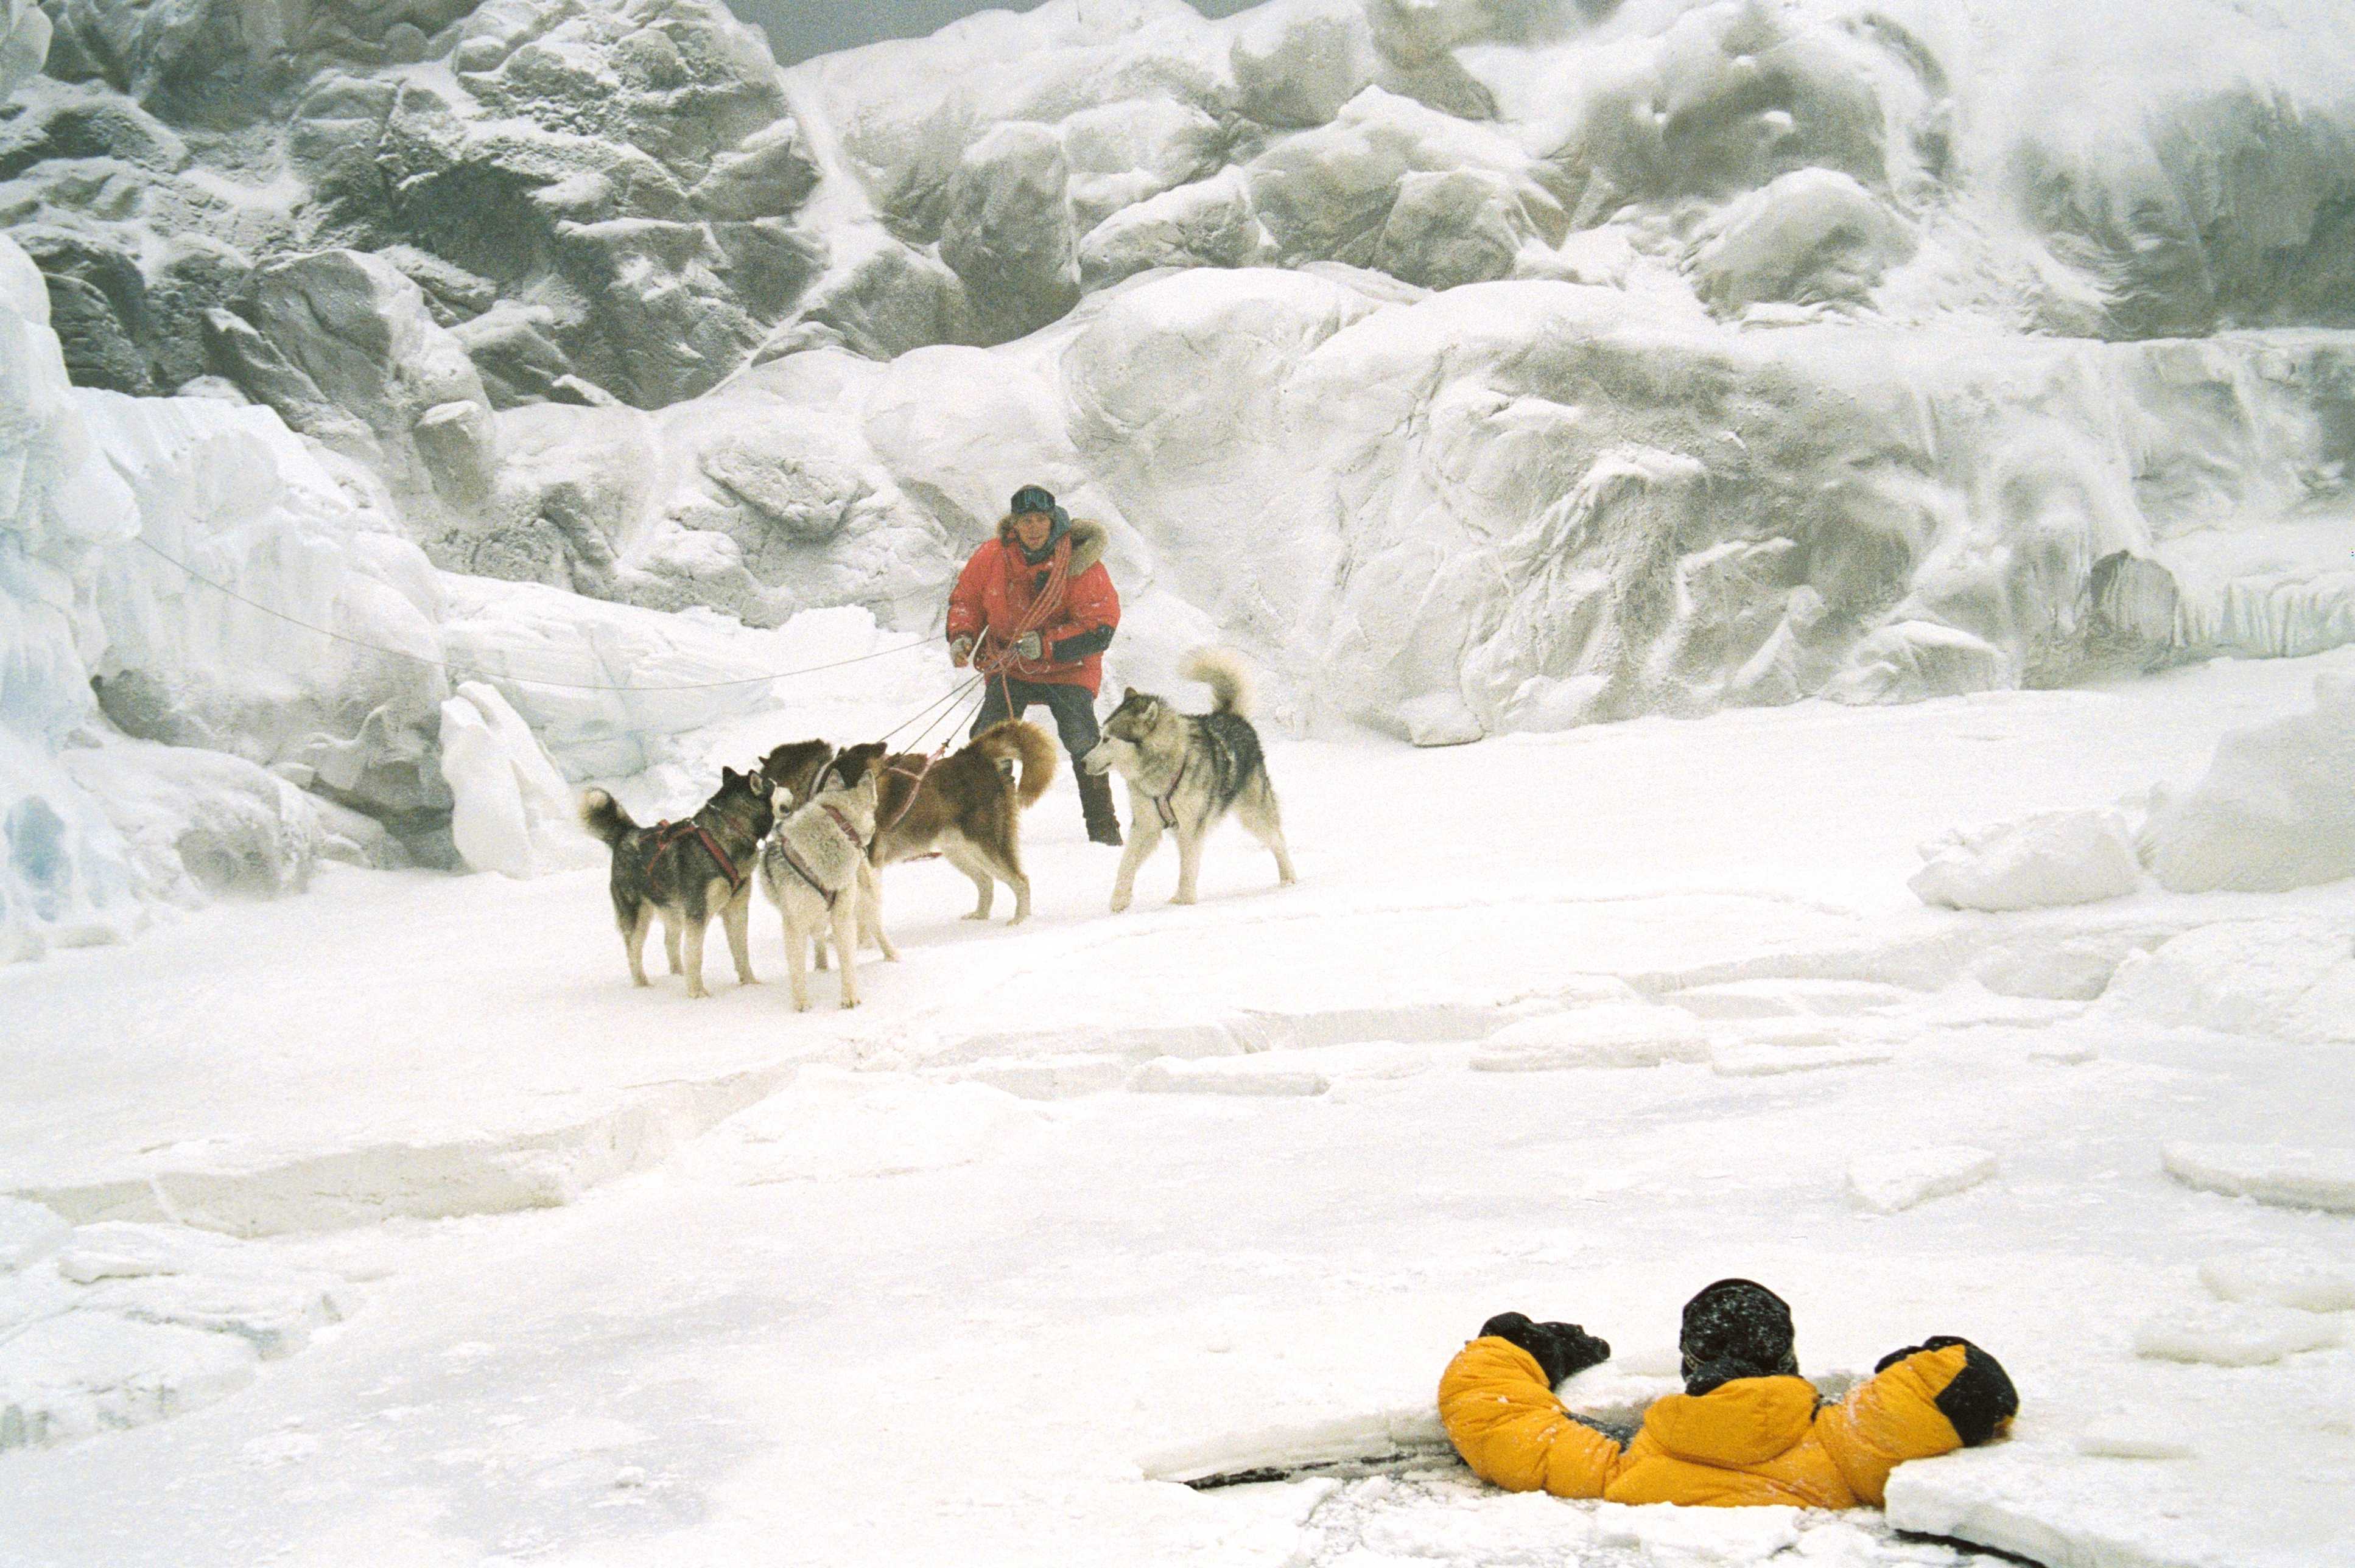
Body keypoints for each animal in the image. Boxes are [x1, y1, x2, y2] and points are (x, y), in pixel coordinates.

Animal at [579, 763, 772, 993]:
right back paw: (643, 985)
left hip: (674, 910)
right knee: (634, 952)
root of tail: (627, 834)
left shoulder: (737, 910)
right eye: (774, 784)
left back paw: (678, 975)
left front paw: (750, 984)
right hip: (638, 916)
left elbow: (742, 952)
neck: (724, 836)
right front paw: (698, 993)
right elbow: (695, 955)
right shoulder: (697, 914)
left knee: (669, 943)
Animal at [763, 739, 890, 1007]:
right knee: (819, 940)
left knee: (876, 929)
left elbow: (848, 962)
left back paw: (893, 958)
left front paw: (850, 998)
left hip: (862, 903)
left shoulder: (843, 916)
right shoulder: (795, 923)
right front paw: (801, 1005)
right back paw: (821, 968)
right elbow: (797, 969)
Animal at [1078, 645, 1300, 908]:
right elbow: (1126, 864)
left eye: (1107, 739)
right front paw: (1119, 901)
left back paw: (1289, 879)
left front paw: (1183, 900)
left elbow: (1187, 868)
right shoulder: (1146, 825)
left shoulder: (1191, 827)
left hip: (1254, 814)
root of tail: (1232, 717)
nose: (1082, 762)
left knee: (1278, 841)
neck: (1162, 771)